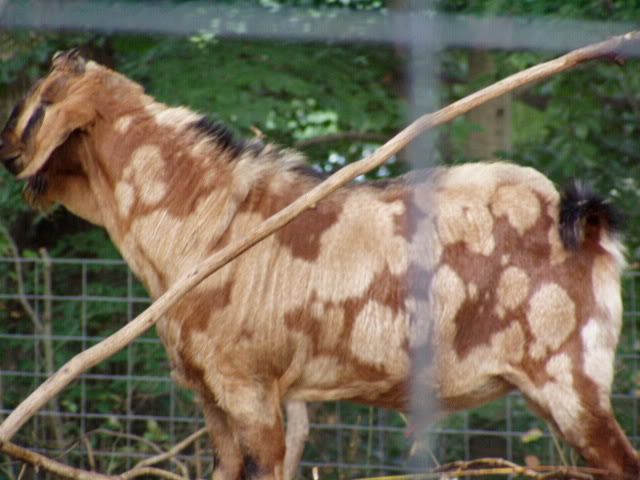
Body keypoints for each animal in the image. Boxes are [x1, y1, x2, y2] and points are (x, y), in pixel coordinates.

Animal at [1, 50, 638, 479]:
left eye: (41, 106)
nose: (5, 150)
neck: (206, 220)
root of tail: (582, 220)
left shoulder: (248, 387)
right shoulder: (218, 396)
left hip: (570, 377)